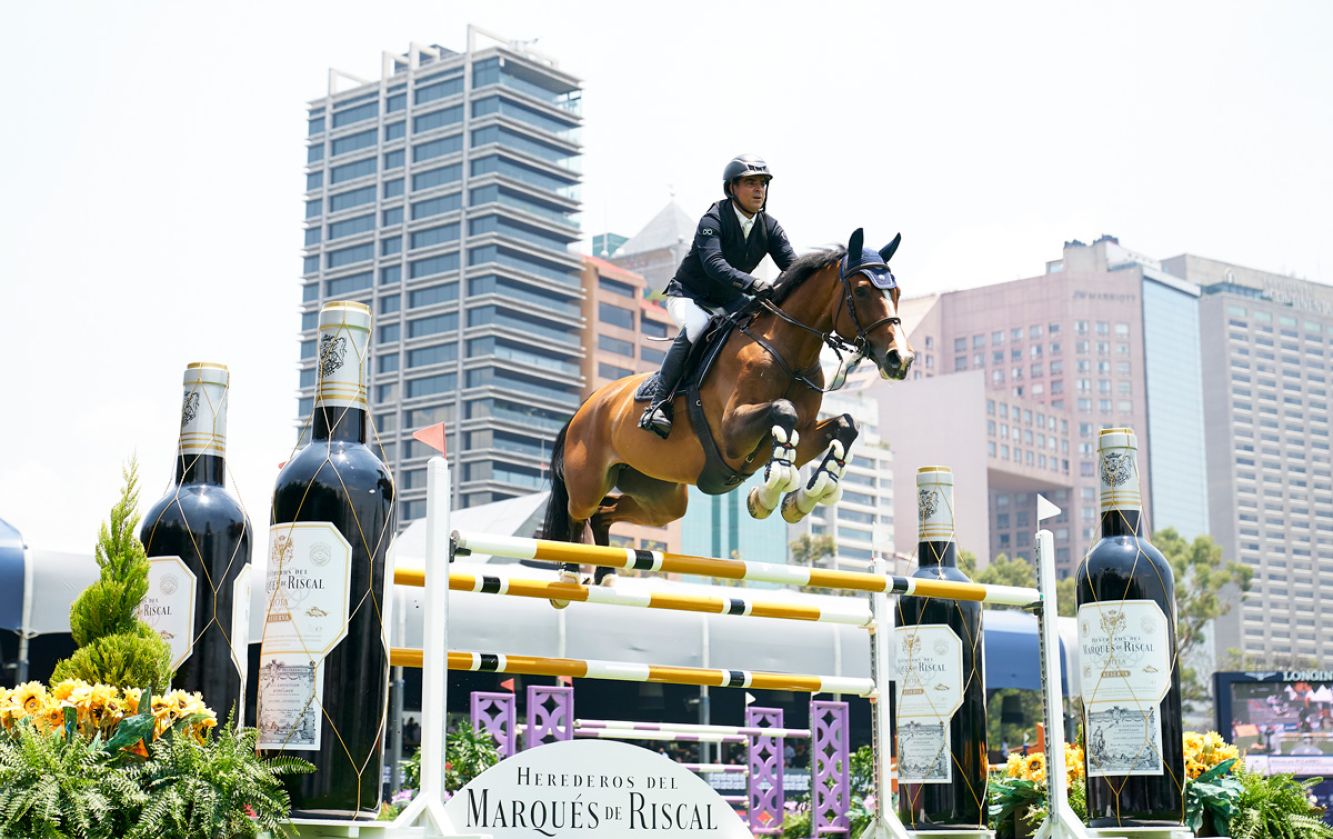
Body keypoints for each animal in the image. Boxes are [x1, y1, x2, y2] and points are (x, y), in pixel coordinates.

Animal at [535, 225, 911, 581]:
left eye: (896, 292)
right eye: (861, 291)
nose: (900, 359)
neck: (787, 352)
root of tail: (586, 407)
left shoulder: (802, 436)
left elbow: (844, 425)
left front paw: (803, 498)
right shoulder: (732, 433)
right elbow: (783, 411)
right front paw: (766, 496)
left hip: (660, 498)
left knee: (605, 513)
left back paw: (607, 575)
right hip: (589, 482)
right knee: (577, 514)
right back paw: (569, 575)